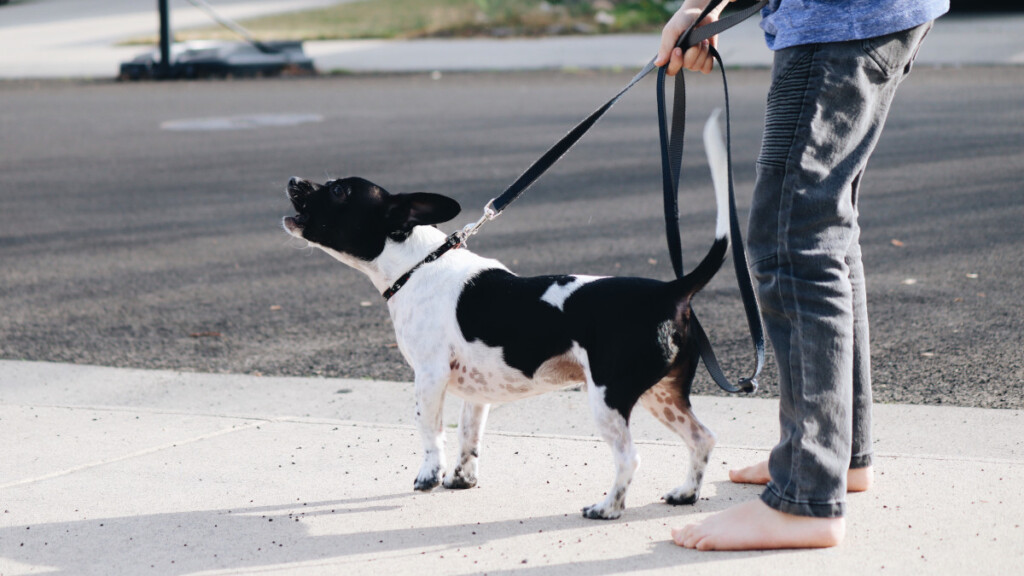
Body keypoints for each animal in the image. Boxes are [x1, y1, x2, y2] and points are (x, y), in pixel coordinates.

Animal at [286, 111, 737, 516]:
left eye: (340, 191)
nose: (292, 180)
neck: (419, 264)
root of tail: (669, 290)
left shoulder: (429, 377)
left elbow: (430, 431)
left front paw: (429, 474)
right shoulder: (474, 392)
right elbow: (469, 436)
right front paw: (462, 478)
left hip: (609, 397)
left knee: (630, 457)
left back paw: (607, 507)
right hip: (662, 395)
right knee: (702, 439)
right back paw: (686, 493)